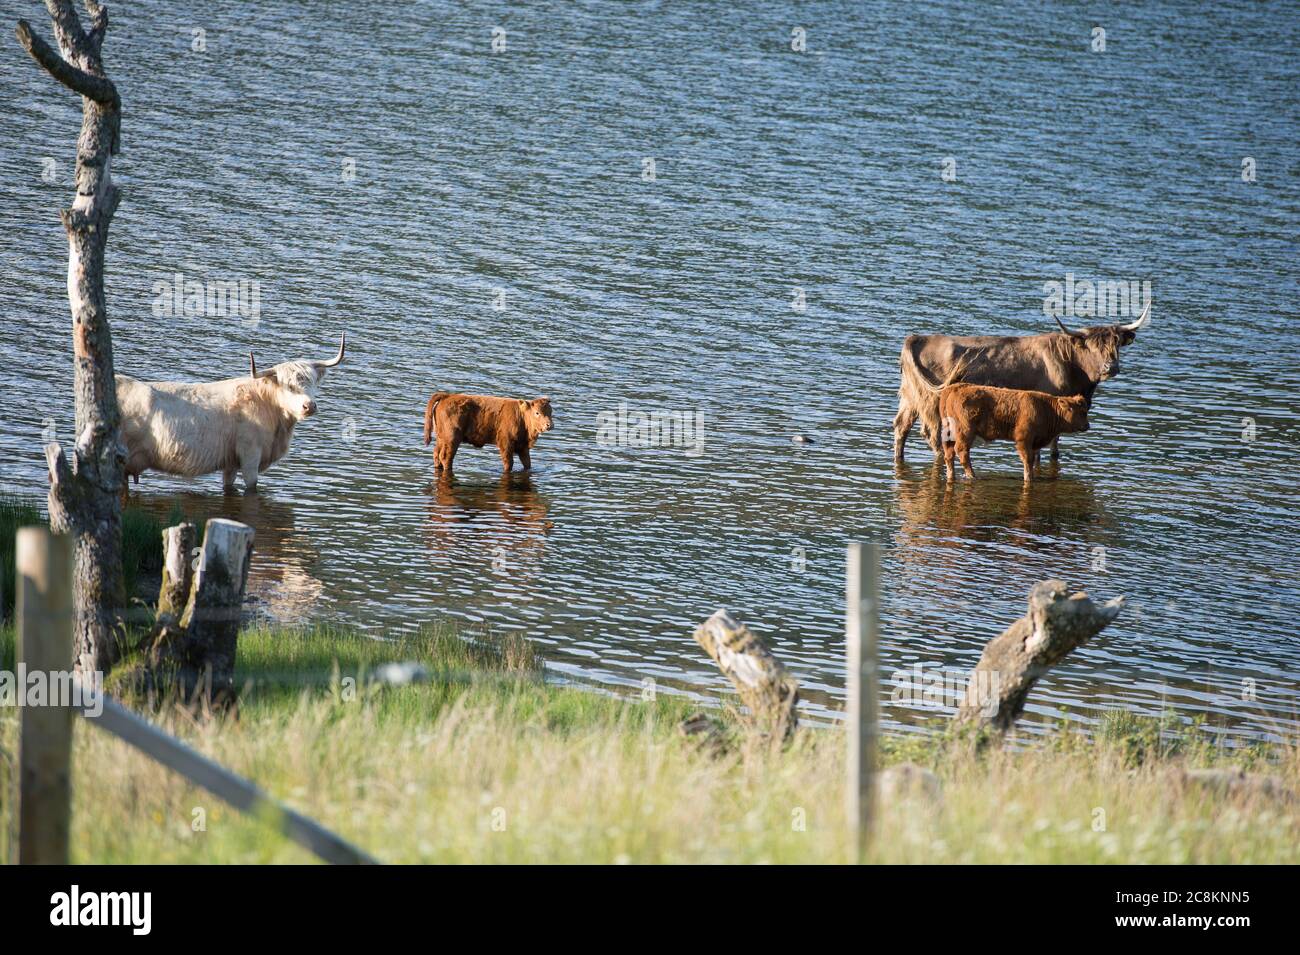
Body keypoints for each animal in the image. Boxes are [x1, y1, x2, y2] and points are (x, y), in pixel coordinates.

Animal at [421, 392, 553, 475]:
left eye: (551, 412)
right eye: (537, 413)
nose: (549, 425)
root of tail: (447, 396)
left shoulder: (523, 447)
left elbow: (527, 464)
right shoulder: (506, 443)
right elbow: (508, 463)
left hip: (441, 437)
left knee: (436, 453)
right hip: (451, 438)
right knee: (446, 456)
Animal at [941, 382, 1092, 480]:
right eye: (1082, 412)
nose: (1087, 425)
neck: (1047, 409)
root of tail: (955, 388)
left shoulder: (1034, 443)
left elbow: (1032, 460)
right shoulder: (1024, 439)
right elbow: (1028, 460)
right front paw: (1028, 478)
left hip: (949, 433)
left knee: (949, 454)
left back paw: (951, 475)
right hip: (965, 431)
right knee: (962, 452)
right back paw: (972, 476)